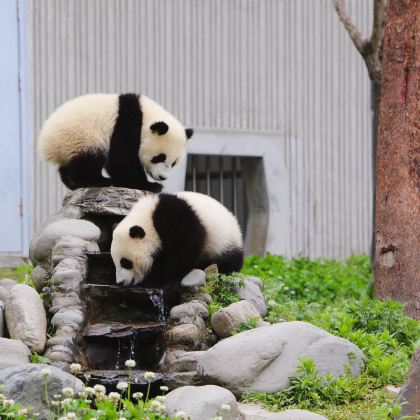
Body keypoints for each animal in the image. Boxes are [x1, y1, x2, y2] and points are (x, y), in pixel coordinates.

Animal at [38, 93, 193, 192]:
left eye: (174, 163)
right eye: (159, 157)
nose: (162, 177)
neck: (146, 116)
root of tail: (47, 141)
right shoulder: (127, 123)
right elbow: (121, 159)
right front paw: (149, 185)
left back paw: (71, 182)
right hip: (83, 136)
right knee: (90, 158)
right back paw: (97, 181)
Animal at [110, 191, 244, 292]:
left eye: (125, 263)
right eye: (115, 263)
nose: (120, 282)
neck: (148, 218)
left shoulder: (176, 219)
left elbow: (184, 250)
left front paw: (169, 282)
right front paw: (152, 280)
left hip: (224, 241)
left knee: (229, 260)